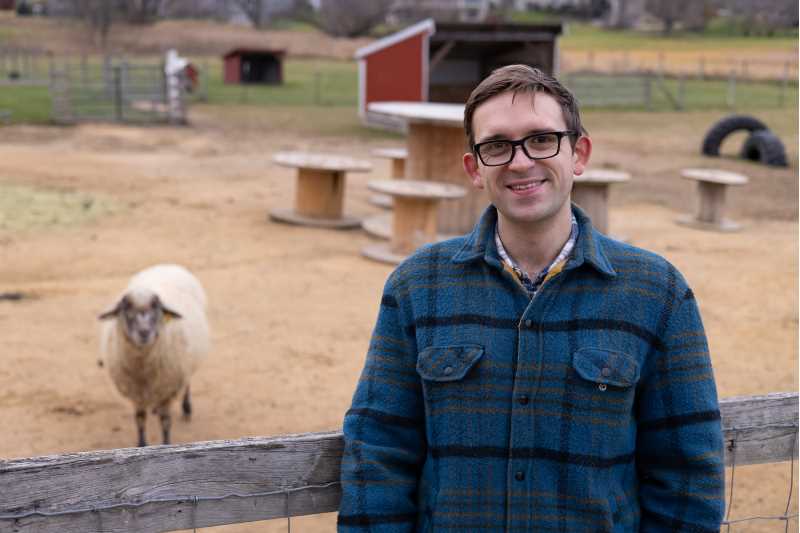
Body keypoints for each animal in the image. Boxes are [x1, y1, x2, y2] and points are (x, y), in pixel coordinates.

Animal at [99, 264, 209, 446]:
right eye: (125, 308)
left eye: (156, 308)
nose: (144, 332)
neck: (143, 370)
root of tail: (168, 265)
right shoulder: (136, 394)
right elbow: (140, 419)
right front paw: (141, 444)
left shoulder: (168, 391)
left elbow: (165, 421)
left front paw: (166, 443)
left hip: (186, 363)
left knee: (187, 382)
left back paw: (186, 408)